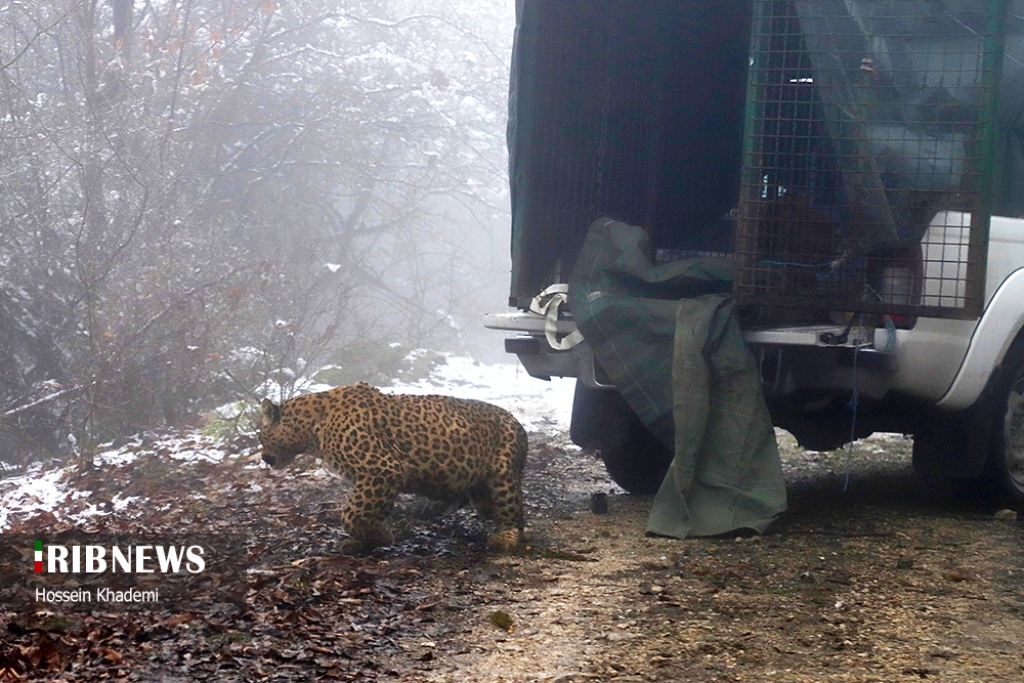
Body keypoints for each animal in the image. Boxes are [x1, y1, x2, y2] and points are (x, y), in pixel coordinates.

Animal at [258, 385, 528, 548]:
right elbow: (371, 511)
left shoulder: (381, 469)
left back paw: (506, 537)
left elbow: (351, 512)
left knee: (514, 511)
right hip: (481, 495)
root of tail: (518, 423)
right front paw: (368, 539)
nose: (263, 457)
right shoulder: (379, 479)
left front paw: (378, 536)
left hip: (503, 474)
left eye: (260, 435)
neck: (311, 429)